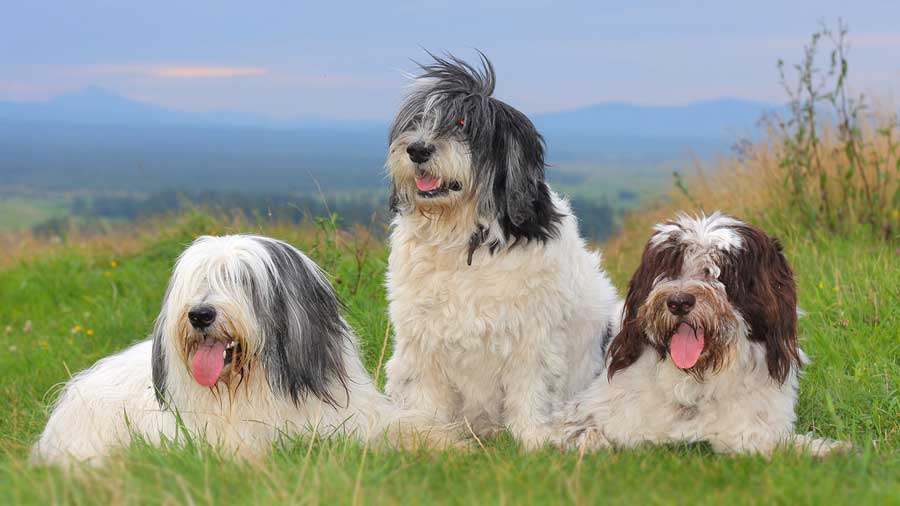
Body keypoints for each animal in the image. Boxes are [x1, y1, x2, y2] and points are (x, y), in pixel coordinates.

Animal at [33, 235, 458, 464]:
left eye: (241, 280)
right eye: (199, 280)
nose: (200, 314)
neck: (254, 385)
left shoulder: (350, 414)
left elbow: (400, 427)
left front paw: (450, 445)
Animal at [380, 54, 620, 450]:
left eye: (463, 123)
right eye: (417, 121)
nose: (417, 149)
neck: (466, 241)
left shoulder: (534, 338)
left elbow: (531, 392)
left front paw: (535, 440)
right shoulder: (422, 340)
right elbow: (427, 395)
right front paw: (429, 435)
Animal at [564, 211, 852, 456]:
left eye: (722, 271)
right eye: (668, 268)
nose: (679, 302)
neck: (695, 385)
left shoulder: (753, 430)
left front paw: (830, 450)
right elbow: (586, 432)